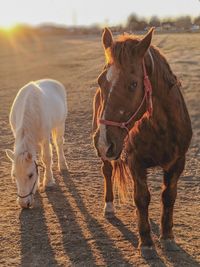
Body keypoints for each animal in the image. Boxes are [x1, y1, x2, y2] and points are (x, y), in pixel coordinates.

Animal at [5, 79, 68, 209]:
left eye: (30, 175)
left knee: (59, 144)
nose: (23, 203)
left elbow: (47, 158)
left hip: (60, 123)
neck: (31, 109)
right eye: (14, 176)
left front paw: (48, 181)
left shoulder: (45, 137)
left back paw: (63, 165)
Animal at [93, 28, 193, 256]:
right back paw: (109, 206)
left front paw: (167, 237)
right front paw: (146, 241)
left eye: (133, 84)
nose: (103, 142)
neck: (162, 128)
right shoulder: (135, 162)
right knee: (107, 171)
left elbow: (168, 196)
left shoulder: (178, 163)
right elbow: (141, 198)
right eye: (101, 81)